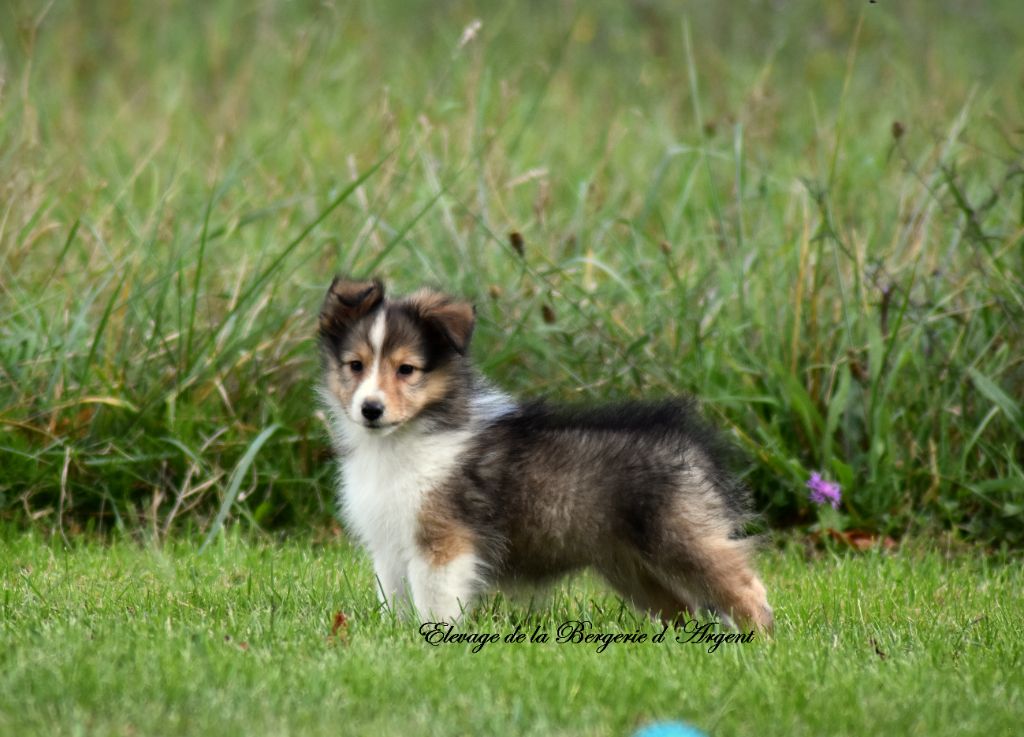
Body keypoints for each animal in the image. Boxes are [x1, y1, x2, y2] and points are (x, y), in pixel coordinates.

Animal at [315, 278, 770, 634]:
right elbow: (393, 599)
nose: (370, 409)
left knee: (747, 588)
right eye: (355, 365)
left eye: (406, 369)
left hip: (681, 540)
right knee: (681, 610)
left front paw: (432, 642)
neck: (398, 443)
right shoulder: (389, 545)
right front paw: (396, 636)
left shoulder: (443, 542)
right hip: (634, 567)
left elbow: (435, 603)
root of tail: (691, 442)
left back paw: (761, 642)